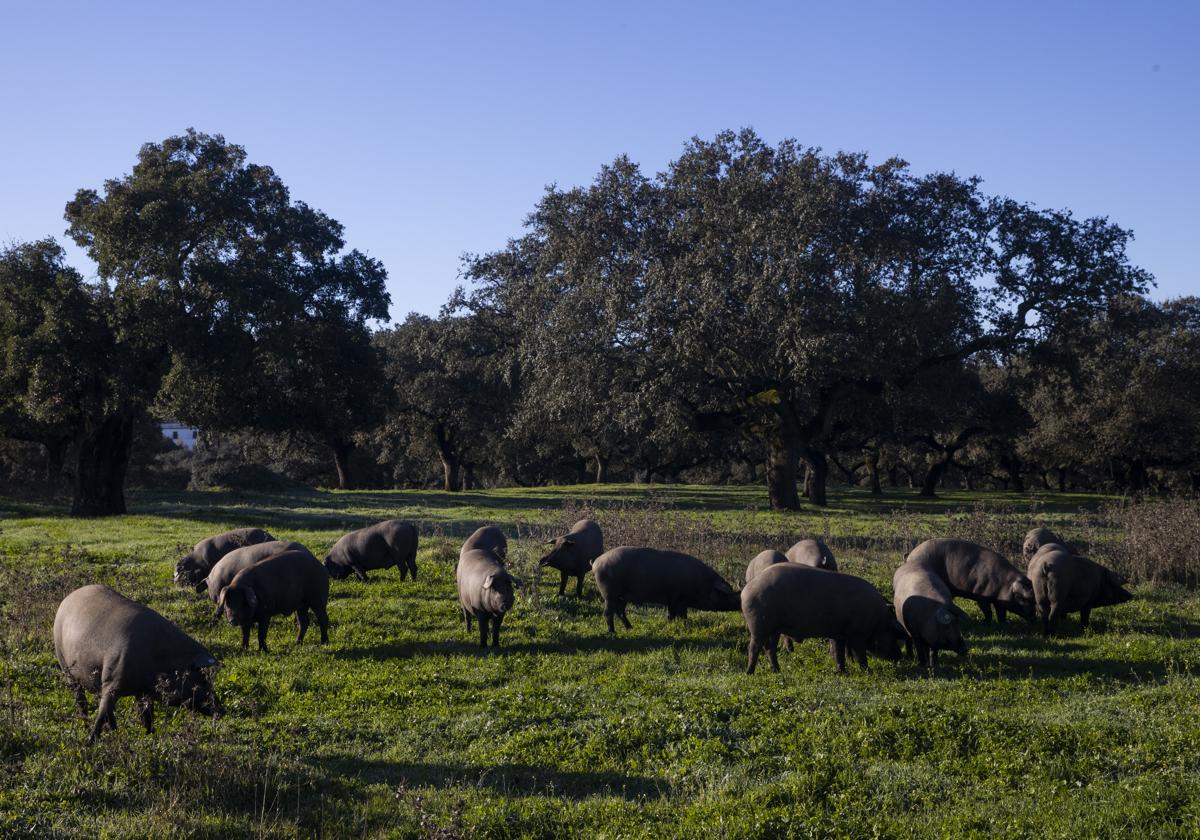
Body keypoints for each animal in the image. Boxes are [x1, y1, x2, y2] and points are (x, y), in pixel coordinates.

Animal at [52, 583, 223, 739]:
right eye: (203, 680)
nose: (222, 710)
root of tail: (67, 598)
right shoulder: (110, 681)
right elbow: (101, 714)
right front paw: (90, 742)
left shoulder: (143, 692)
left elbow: (146, 716)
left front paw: (149, 735)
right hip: (66, 669)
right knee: (82, 702)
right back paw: (89, 728)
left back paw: (115, 732)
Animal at [590, 547, 739, 633]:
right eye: (726, 594)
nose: (739, 604)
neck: (702, 584)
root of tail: (596, 561)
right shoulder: (676, 598)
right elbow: (674, 614)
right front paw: (676, 625)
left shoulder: (677, 601)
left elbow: (680, 614)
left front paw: (683, 623)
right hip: (609, 594)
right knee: (608, 613)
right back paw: (612, 632)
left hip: (622, 596)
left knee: (620, 611)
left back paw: (630, 628)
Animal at [739, 564, 902, 676]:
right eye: (893, 634)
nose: (899, 656)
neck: (877, 620)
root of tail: (746, 589)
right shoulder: (857, 635)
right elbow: (860, 655)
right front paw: (867, 672)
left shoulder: (838, 634)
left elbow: (839, 653)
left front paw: (842, 673)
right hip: (758, 625)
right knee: (753, 648)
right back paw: (749, 673)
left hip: (774, 629)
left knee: (769, 648)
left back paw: (777, 671)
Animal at [902, 537, 1036, 624]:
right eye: (1023, 597)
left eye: (1034, 598)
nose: (1034, 618)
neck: (1006, 584)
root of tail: (911, 554)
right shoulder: (981, 596)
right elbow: (987, 611)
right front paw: (986, 623)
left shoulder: (999, 601)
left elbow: (1001, 613)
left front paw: (1003, 624)